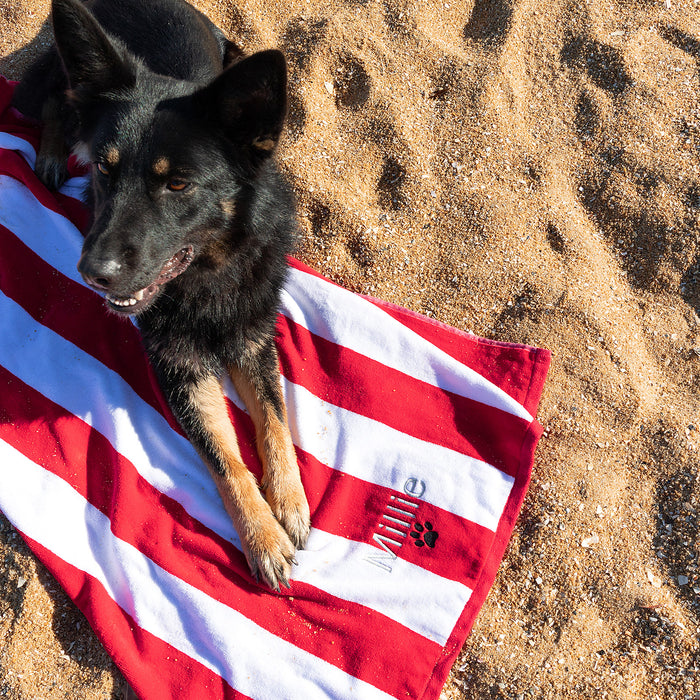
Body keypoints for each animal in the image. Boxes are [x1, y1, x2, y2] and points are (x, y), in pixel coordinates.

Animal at [11, 0, 308, 592]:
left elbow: (274, 419)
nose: (93, 273)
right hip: (61, 84)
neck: (209, 273)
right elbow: (225, 457)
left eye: (178, 185)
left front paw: (287, 500)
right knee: (55, 104)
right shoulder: (180, 368)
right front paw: (263, 537)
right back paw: (51, 152)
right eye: (104, 169)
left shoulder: (252, 338)